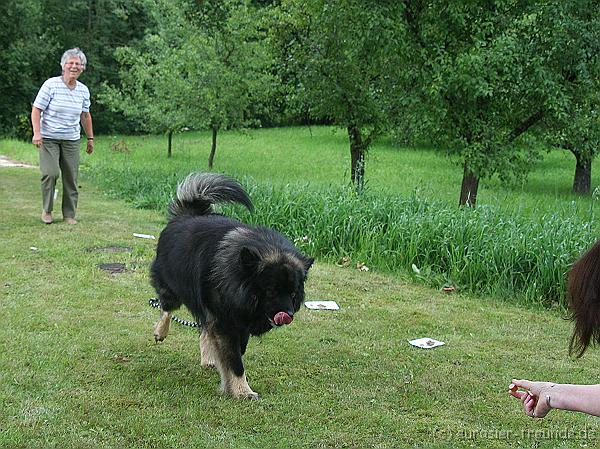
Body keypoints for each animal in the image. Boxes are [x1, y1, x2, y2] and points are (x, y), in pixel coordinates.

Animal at [150, 172, 314, 400]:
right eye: (271, 291)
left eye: (292, 293)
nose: (288, 315)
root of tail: (187, 214)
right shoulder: (225, 323)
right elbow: (235, 361)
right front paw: (243, 391)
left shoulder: (238, 324)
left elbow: (234, 353)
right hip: (172, 290)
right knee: (166, 308)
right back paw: (161, 331)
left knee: (203, 328)